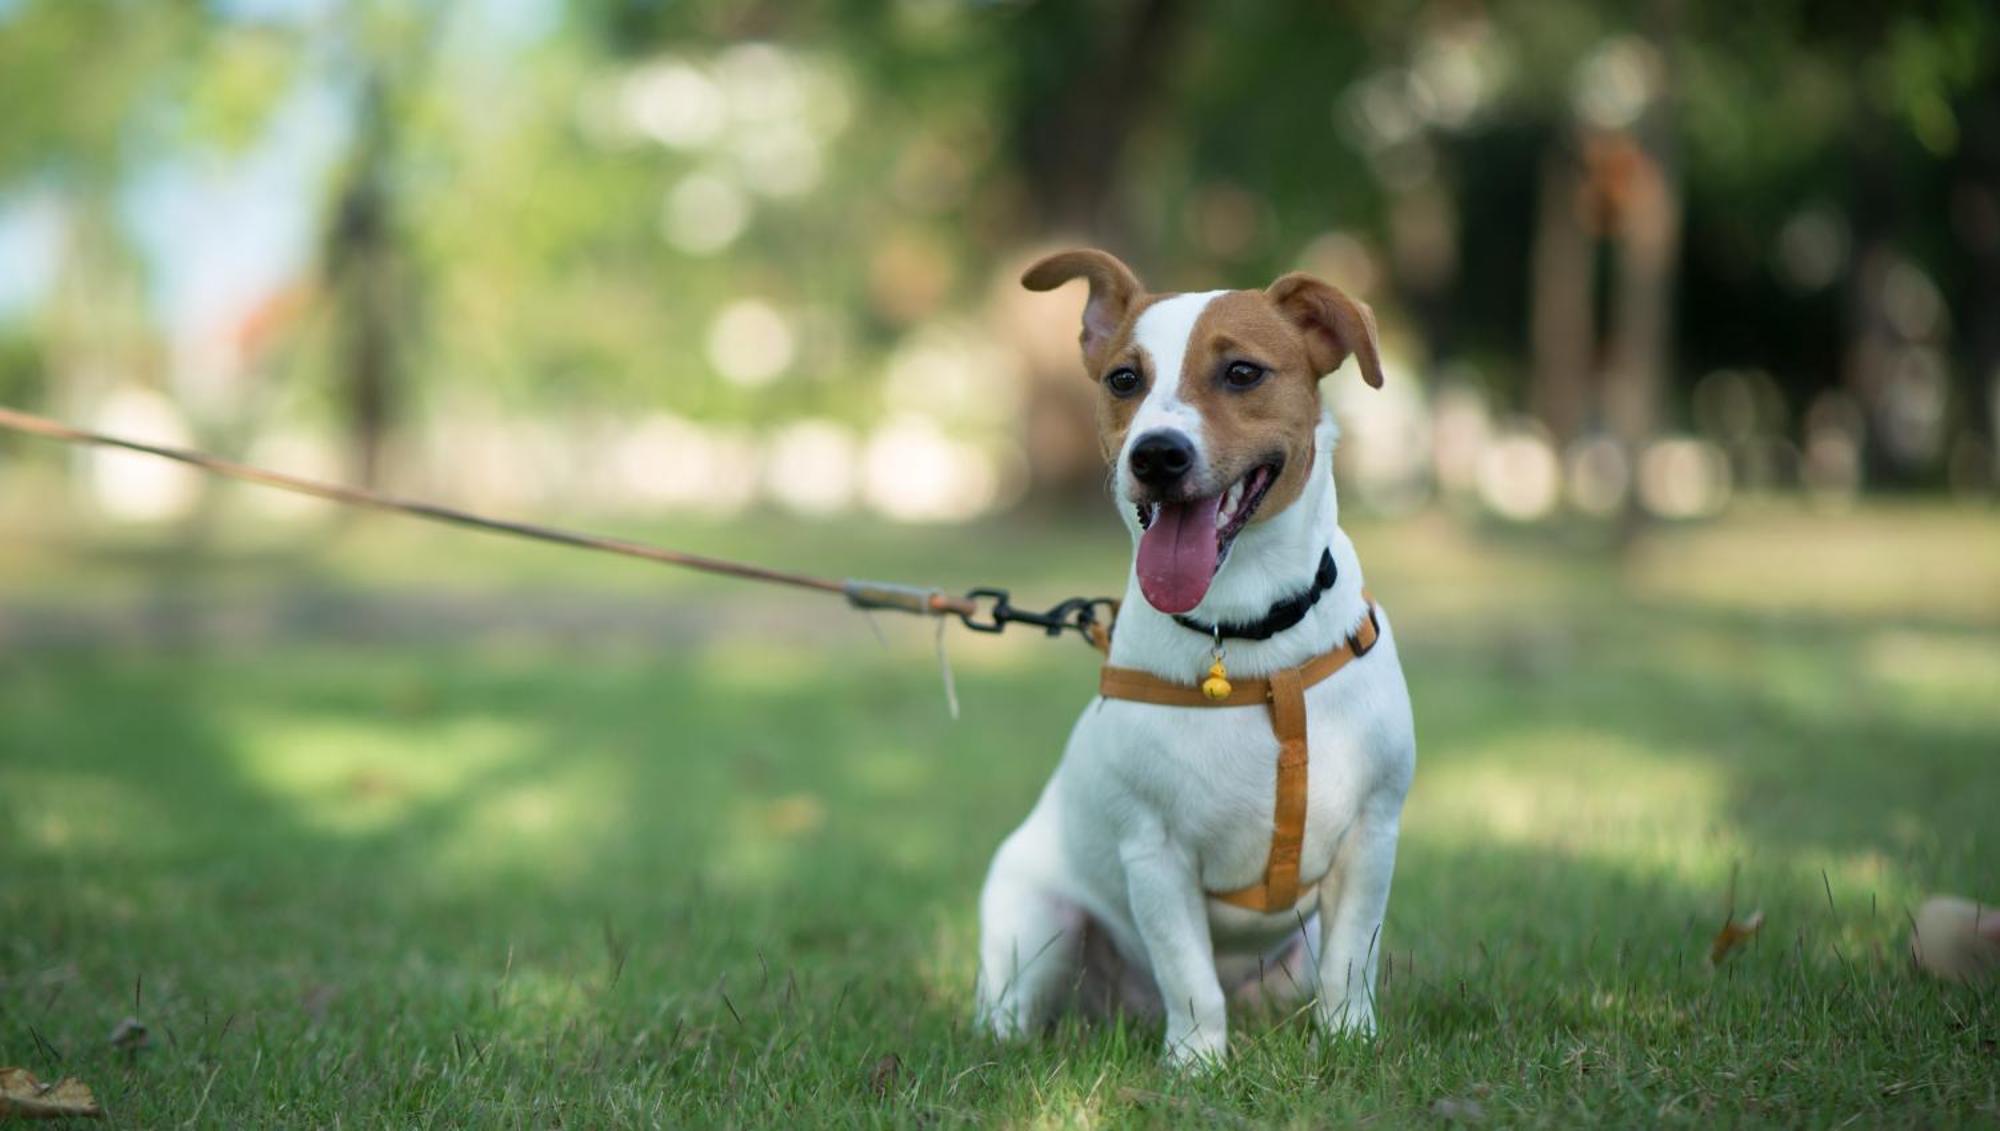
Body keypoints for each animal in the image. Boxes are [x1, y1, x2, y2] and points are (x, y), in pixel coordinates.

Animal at [972, 247, 1416, 1071]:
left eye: (1242, 372)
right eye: (1124, 379)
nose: (1156, 454)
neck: (1247, 637)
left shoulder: (1372, 835)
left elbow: (1352, 961)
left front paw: (1349, 1043)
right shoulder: (1155, 856)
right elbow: (1188, 975)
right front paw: (1197, 1065)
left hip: (1291, 956)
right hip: (1037, 924)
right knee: (1014, 1012)